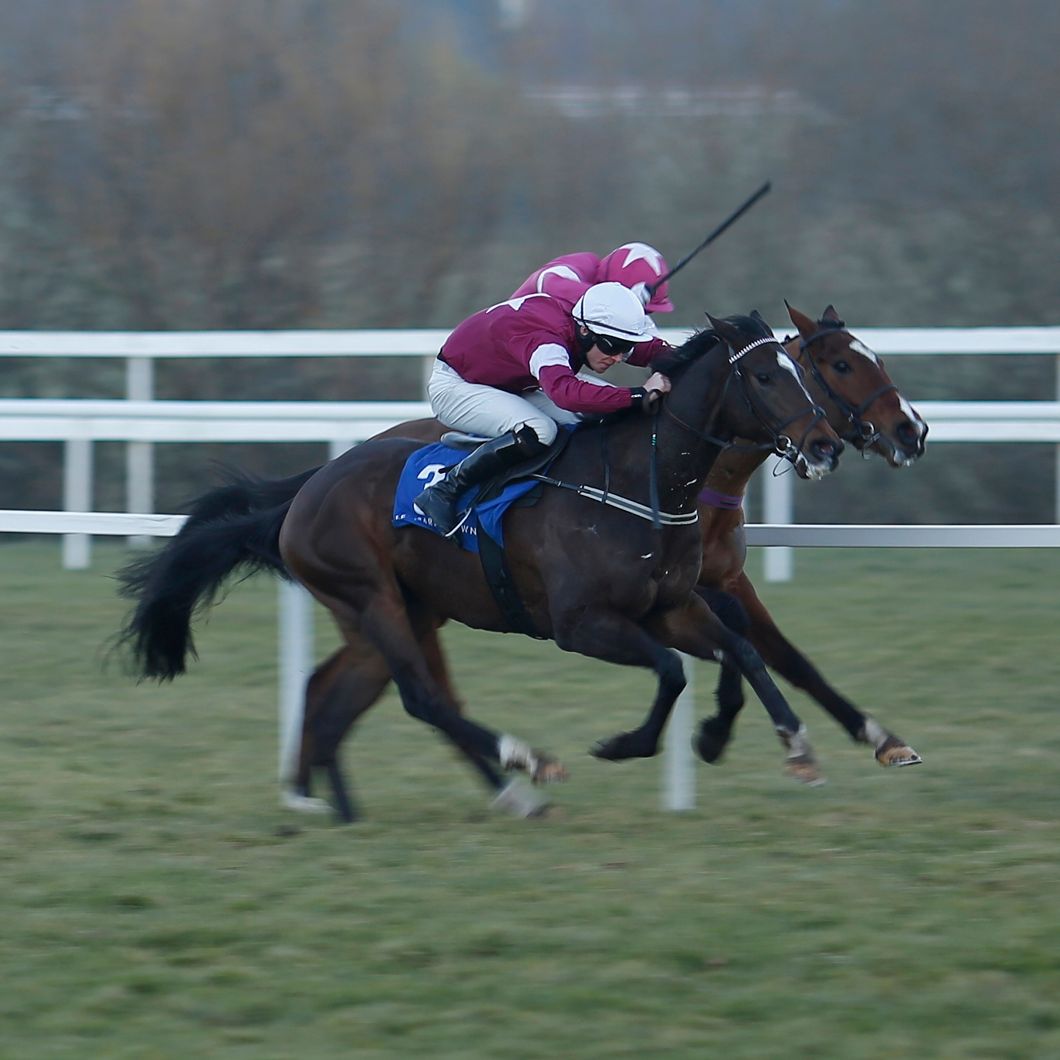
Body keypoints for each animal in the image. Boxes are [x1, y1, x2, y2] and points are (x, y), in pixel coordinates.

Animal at [118, 311, 844, 821]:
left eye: (803, 371)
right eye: (767, 376)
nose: (826, 445)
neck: (639, 480)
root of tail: (306, 492)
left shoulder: (671, 606)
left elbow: (738, 652)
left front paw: (784, 744)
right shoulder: (582, 624)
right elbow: (672, 671)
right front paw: (623, 744)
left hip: (397, 613)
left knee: (336, 699)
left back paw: (349, 807)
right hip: (370, 597)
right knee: (422, 697)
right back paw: (523, 765)